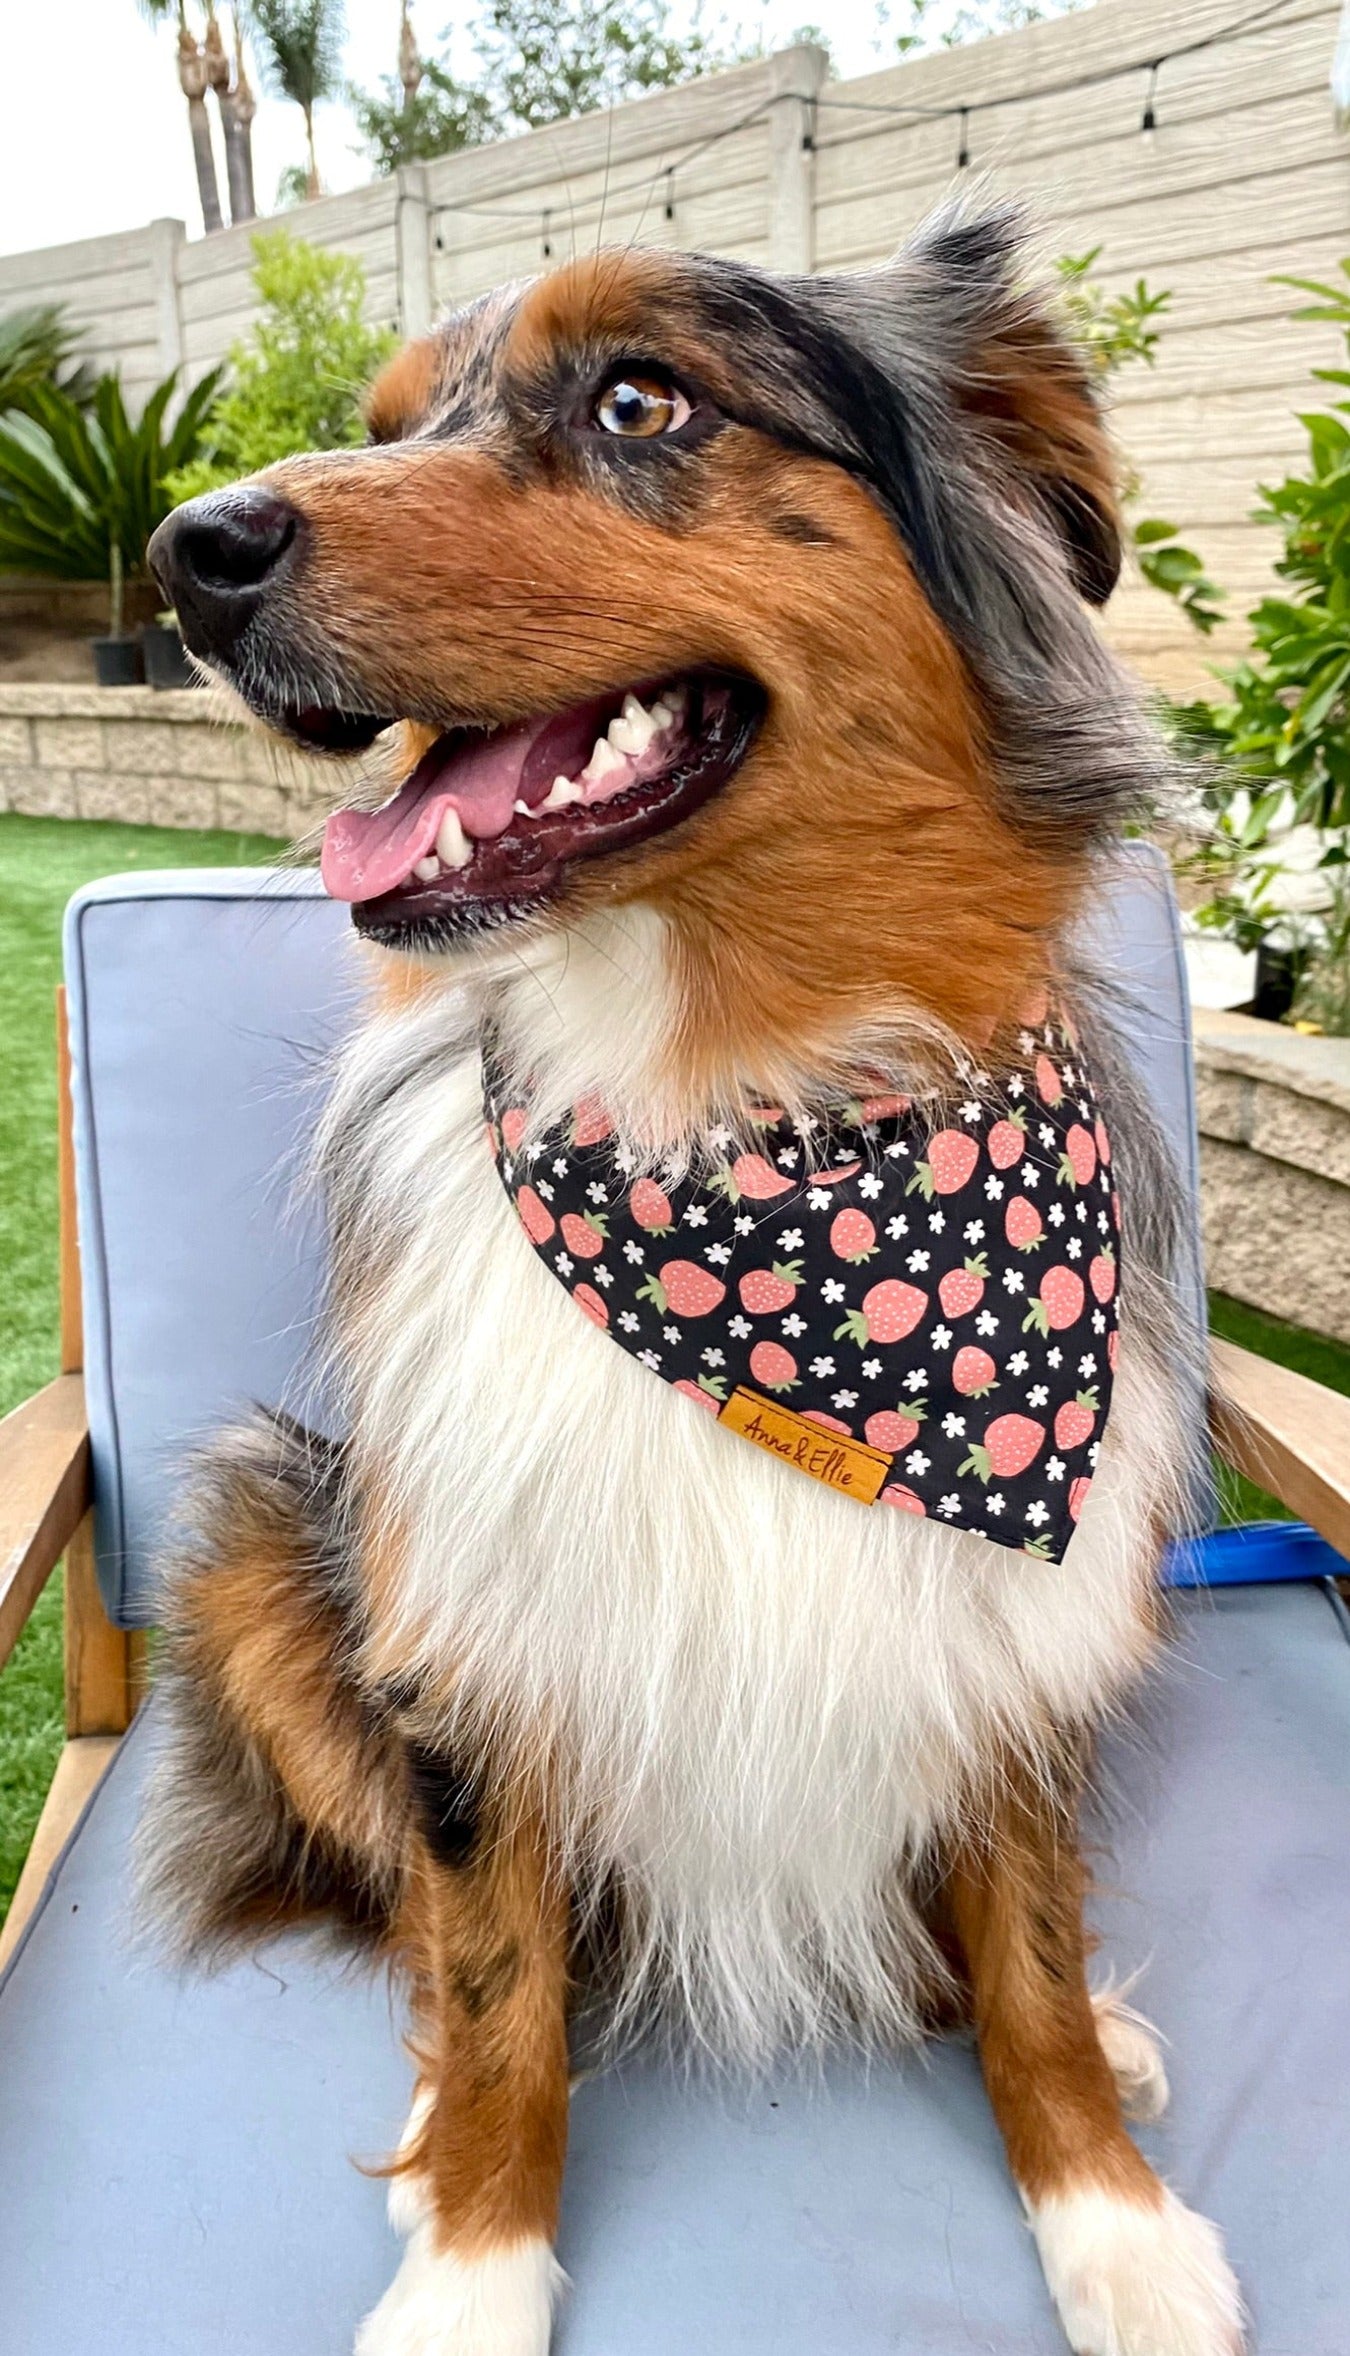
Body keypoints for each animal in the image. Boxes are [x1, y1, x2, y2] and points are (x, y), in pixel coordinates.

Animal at [144, 207, 1243, 2356]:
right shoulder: (470, 1632)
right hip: (263, 1527)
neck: (740, 1116)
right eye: (385, 424)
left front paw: (1114, 2217)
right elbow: (499, 1985)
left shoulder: (1026, 1623)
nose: (187, 551)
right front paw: (474, 2270)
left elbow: (1034, 1955)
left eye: (641, 401)